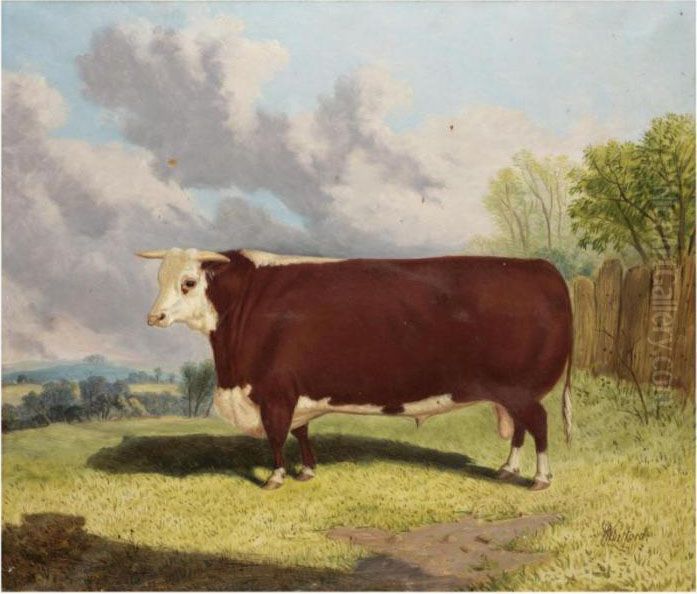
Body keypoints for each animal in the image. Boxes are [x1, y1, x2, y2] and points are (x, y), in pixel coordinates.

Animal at [137, 248, 573, 491]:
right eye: (159, 278)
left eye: (188, 282)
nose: (154, 316)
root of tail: (542, 268)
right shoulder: (297, 392)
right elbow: (302, 432)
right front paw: (307, 471)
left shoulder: (275, 392)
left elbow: (277, 436)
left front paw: (276, 478)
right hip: (513, 393)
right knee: (522, 429)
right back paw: (507, 470)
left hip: (522, 391)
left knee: (539, 425)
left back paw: (539, 479)